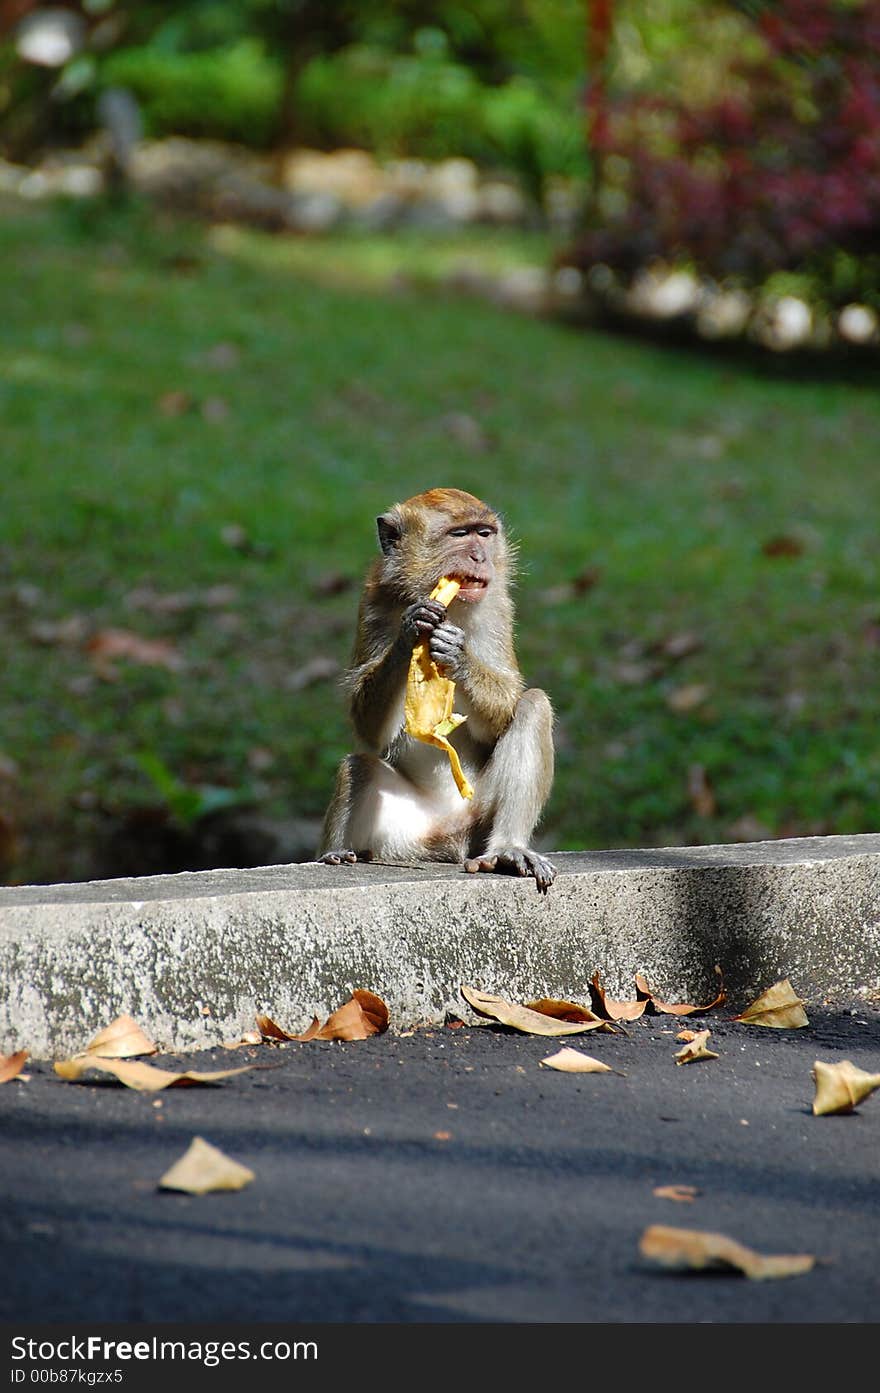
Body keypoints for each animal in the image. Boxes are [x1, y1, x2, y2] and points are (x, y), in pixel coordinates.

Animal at [316, 490, 554, 891]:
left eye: (484, 533)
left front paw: (458, 656)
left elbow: (507, 705)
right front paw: (411, 630)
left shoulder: (498, 607)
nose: (480, 557)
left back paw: (508, 849)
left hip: (481, 816)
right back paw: (336, 853)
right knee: (358, 766)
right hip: (402, 836)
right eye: (459, 534)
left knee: (533, 705)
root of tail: (452, 837)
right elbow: (370, 732)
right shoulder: (373, 601)